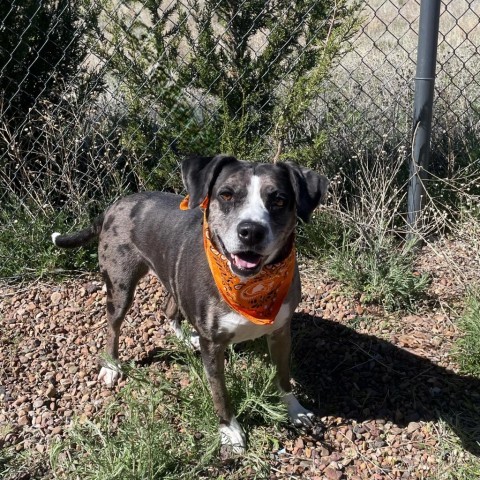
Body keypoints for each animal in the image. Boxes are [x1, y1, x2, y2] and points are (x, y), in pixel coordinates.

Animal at [53, 155, 330, 454]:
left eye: (279, 200)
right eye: (226, 195)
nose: (251, 231)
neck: (248, 286)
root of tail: (116, 203)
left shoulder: (280, 331)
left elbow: (283, 376)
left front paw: (294, 410)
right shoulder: (213, 345)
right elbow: (220, 393)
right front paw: (229, 430)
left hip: (173, 276)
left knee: (168, 308)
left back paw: (185, 338)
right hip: (120, 286)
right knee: (113, 326)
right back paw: (111, 365)